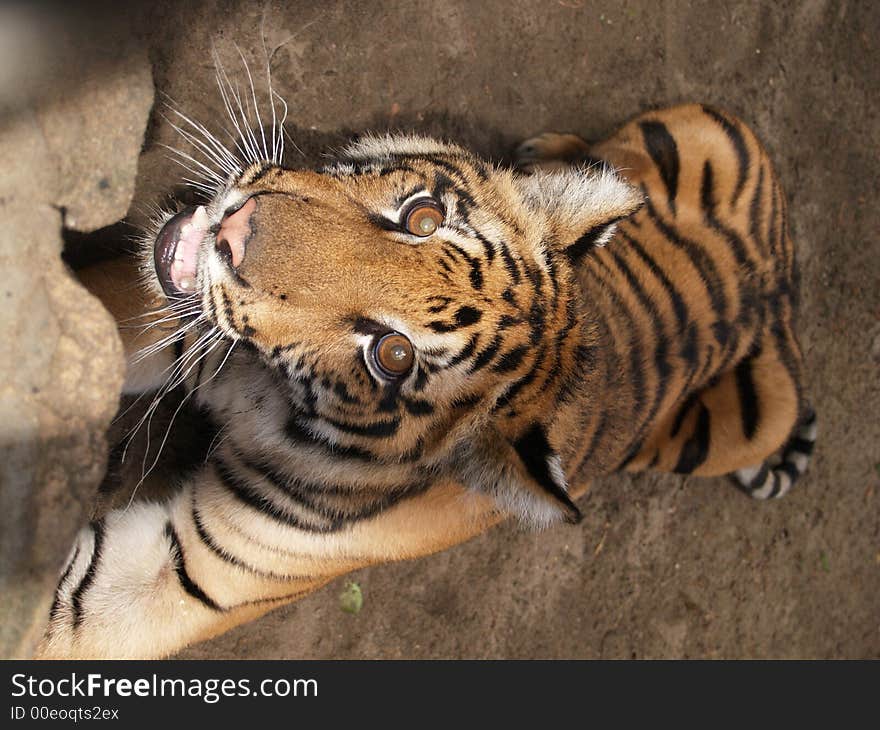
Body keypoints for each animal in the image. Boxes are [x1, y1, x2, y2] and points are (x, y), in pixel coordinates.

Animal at [36, 101, 820, 660]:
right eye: (422, 216)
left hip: (757, 424)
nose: (236, 233)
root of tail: (784, 285)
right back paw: (555, 158)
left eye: (393, 356)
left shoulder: (178, 579)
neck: (264, 390)